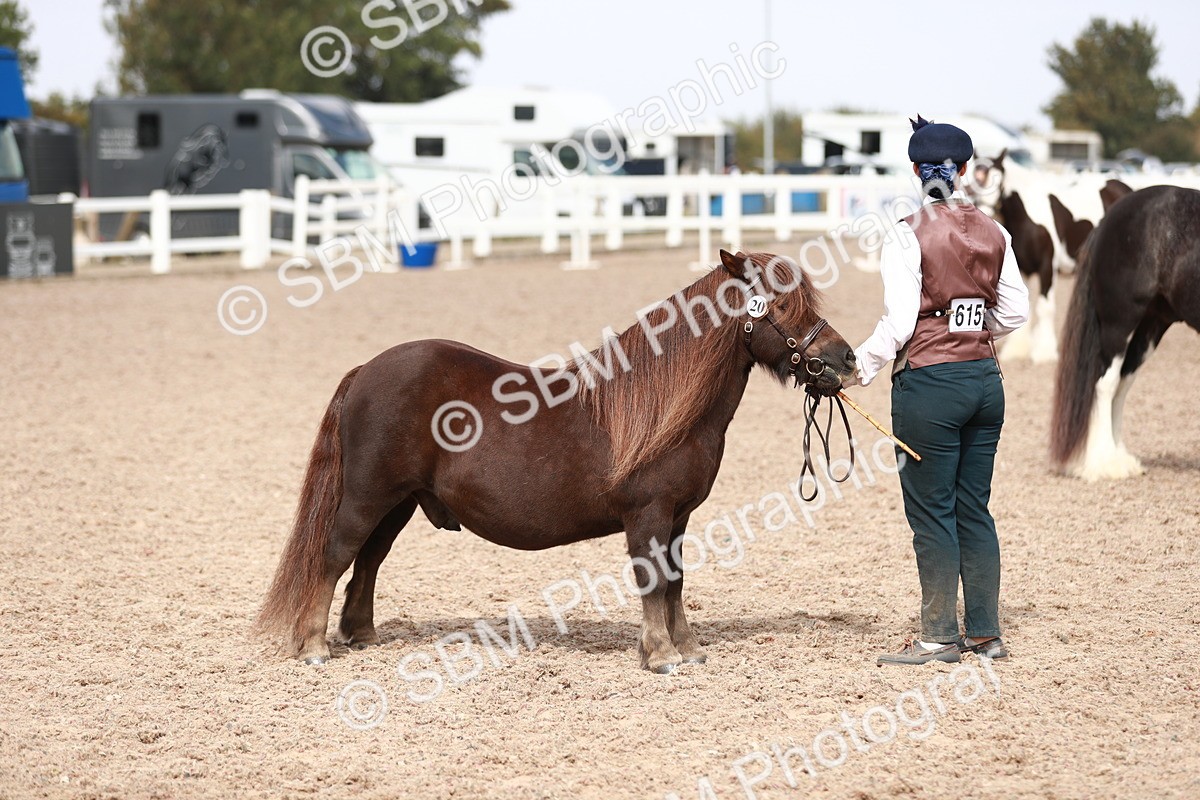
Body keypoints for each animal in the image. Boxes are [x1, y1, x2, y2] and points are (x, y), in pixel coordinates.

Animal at [253, 250, 858, 673]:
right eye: (782, 307)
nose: (845, 360)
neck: (662, 406)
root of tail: (367, 370)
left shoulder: (680, 517)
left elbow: (675, 581)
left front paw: (687, 648)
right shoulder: (647, 515)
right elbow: (651, 580)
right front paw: (661, 655)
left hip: (398, 503)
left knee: (369, 561)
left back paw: (361, 635)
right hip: (367, 496)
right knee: (335, 555)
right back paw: (314, 646)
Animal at [1051, 185, 1200, 480]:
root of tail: (1108, 219)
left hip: (1149, 328)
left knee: (1121, 386)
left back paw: (1120, 458)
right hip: (1119, 326)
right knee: (1105, 384)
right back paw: (1105, 464)